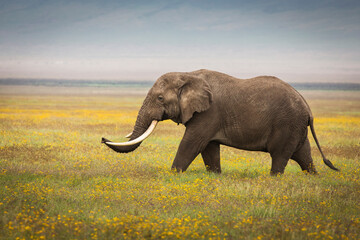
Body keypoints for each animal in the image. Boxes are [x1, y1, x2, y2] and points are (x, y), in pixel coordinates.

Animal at [101, 69, 338, 174]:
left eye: (160, 98)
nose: (103, 138)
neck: (187, 74)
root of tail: (307, 107)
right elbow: (209, 147)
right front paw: (214, 175)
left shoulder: (209, 113)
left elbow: (192, 143)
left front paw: (174, 174)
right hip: (295, 126)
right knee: (303, 154)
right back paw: (313, 177)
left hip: (287, 123)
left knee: (280, 155)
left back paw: (274, 179)